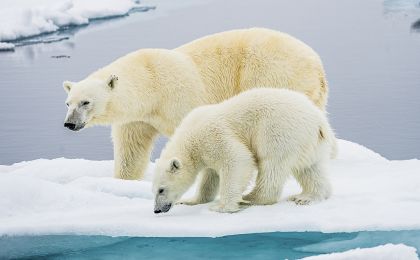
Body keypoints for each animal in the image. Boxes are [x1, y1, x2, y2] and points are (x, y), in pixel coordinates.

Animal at [64, 27, 330, 181]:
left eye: (86, 102)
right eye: (68, 103)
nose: (69, 124)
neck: (150, 84)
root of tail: (317, 64)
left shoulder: (178, 96)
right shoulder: (137, 118)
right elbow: (131, 148)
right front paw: (124, 179)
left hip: (272, 72)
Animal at [153, 88, 334, 213]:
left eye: (161, 189)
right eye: (153, 190)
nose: (157, 210)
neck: (189, 136)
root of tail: (319, 121)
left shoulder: (212, 135)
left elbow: (237, 159)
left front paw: (221, 207)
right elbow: (210, 177)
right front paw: (191, 200)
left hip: (278, 131)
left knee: (272, 165)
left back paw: (252, 197)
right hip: (309, 143)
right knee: (310, 168)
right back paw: (306, 197)